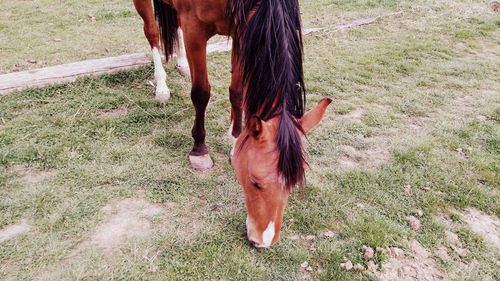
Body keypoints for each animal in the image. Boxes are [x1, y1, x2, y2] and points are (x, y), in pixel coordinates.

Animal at [137, 0, 332, 247]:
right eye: (255, 182)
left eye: (293, 182)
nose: (265, 241)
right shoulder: (195, 30)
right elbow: (201, 93)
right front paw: (199, 150)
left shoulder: (243, 29)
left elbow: (237, 91)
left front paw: (235, 139)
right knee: (152, 32)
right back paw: (161, 87)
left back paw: (182, 65)